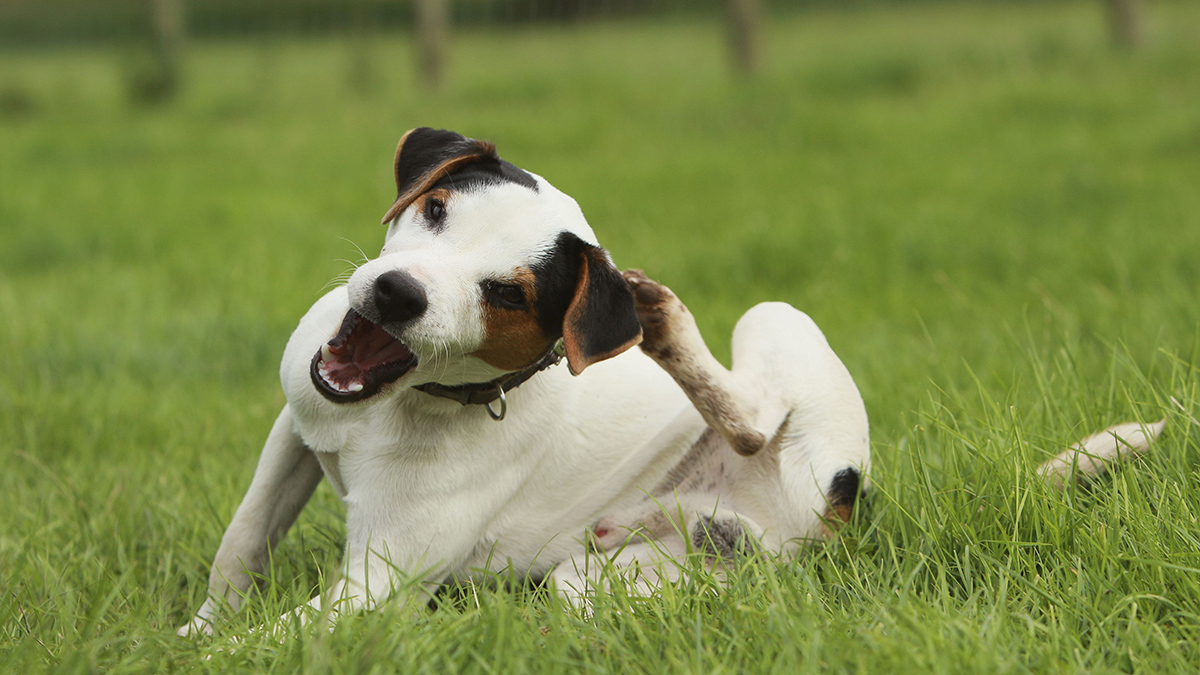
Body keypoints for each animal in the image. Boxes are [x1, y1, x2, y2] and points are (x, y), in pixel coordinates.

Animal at [177, 127, 1161, 634]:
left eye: (507, 292)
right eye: (436, 207)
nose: (395, 293)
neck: (396, 406)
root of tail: (855, 510)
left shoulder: (374, 585)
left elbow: (271, 637)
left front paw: (203, 647)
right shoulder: (296, 427)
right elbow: (242, 541)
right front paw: (206, 619)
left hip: (777, 324)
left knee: (753, 415)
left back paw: (671, 327)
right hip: (606, 580)